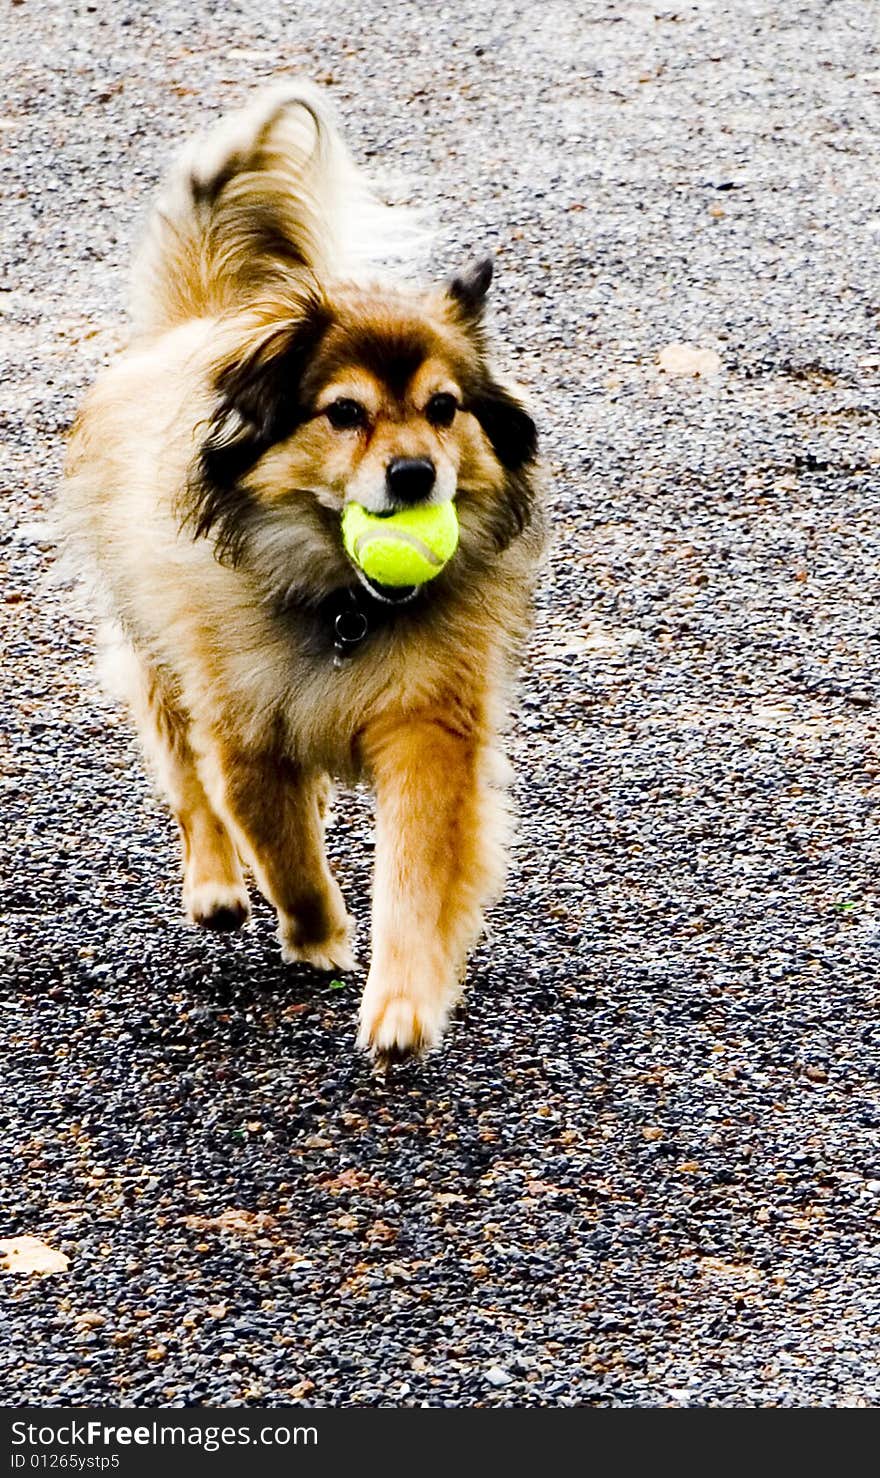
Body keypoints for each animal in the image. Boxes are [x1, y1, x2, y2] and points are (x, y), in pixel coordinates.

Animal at [65, 80, 544, 1058]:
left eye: (445, 408)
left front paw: (402, 1004)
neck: (343, 601)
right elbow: (280, 850)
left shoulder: (427, 729)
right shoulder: (244, 733)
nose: (416, 475)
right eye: (344, 414)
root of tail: (204, 321)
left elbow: (415, 874)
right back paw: (214, 885)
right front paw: (318, 936)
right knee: (187, 784)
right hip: (157, 660)